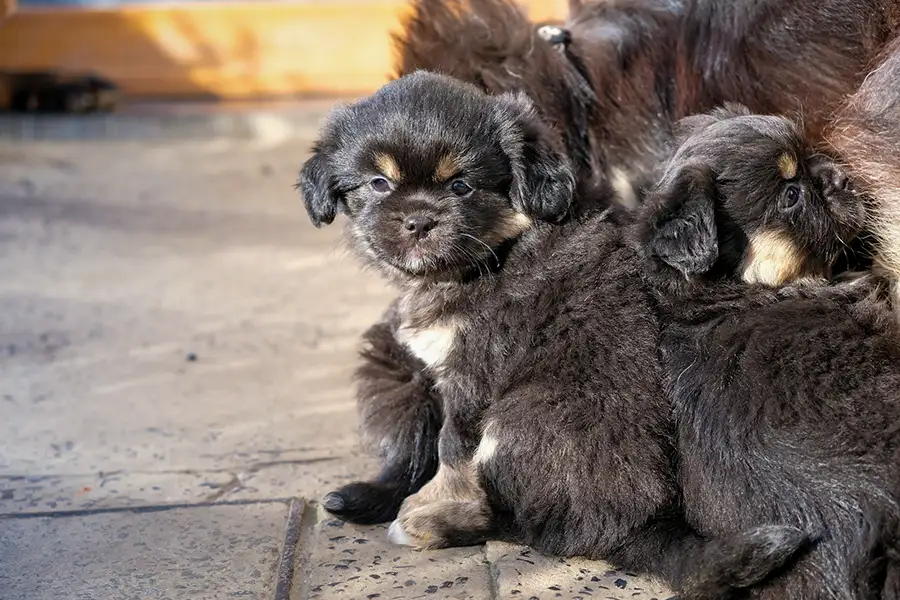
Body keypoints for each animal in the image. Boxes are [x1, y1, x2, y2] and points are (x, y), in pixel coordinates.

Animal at [300, 71, 808, 600]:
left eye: (462, 186)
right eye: (379, 184)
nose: (418, 220)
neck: (489, 258)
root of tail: (641, 524)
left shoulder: (472, 377)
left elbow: (451, 449)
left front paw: (429, 501)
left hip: (517, 419)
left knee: (542, 526)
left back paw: (432, 525)